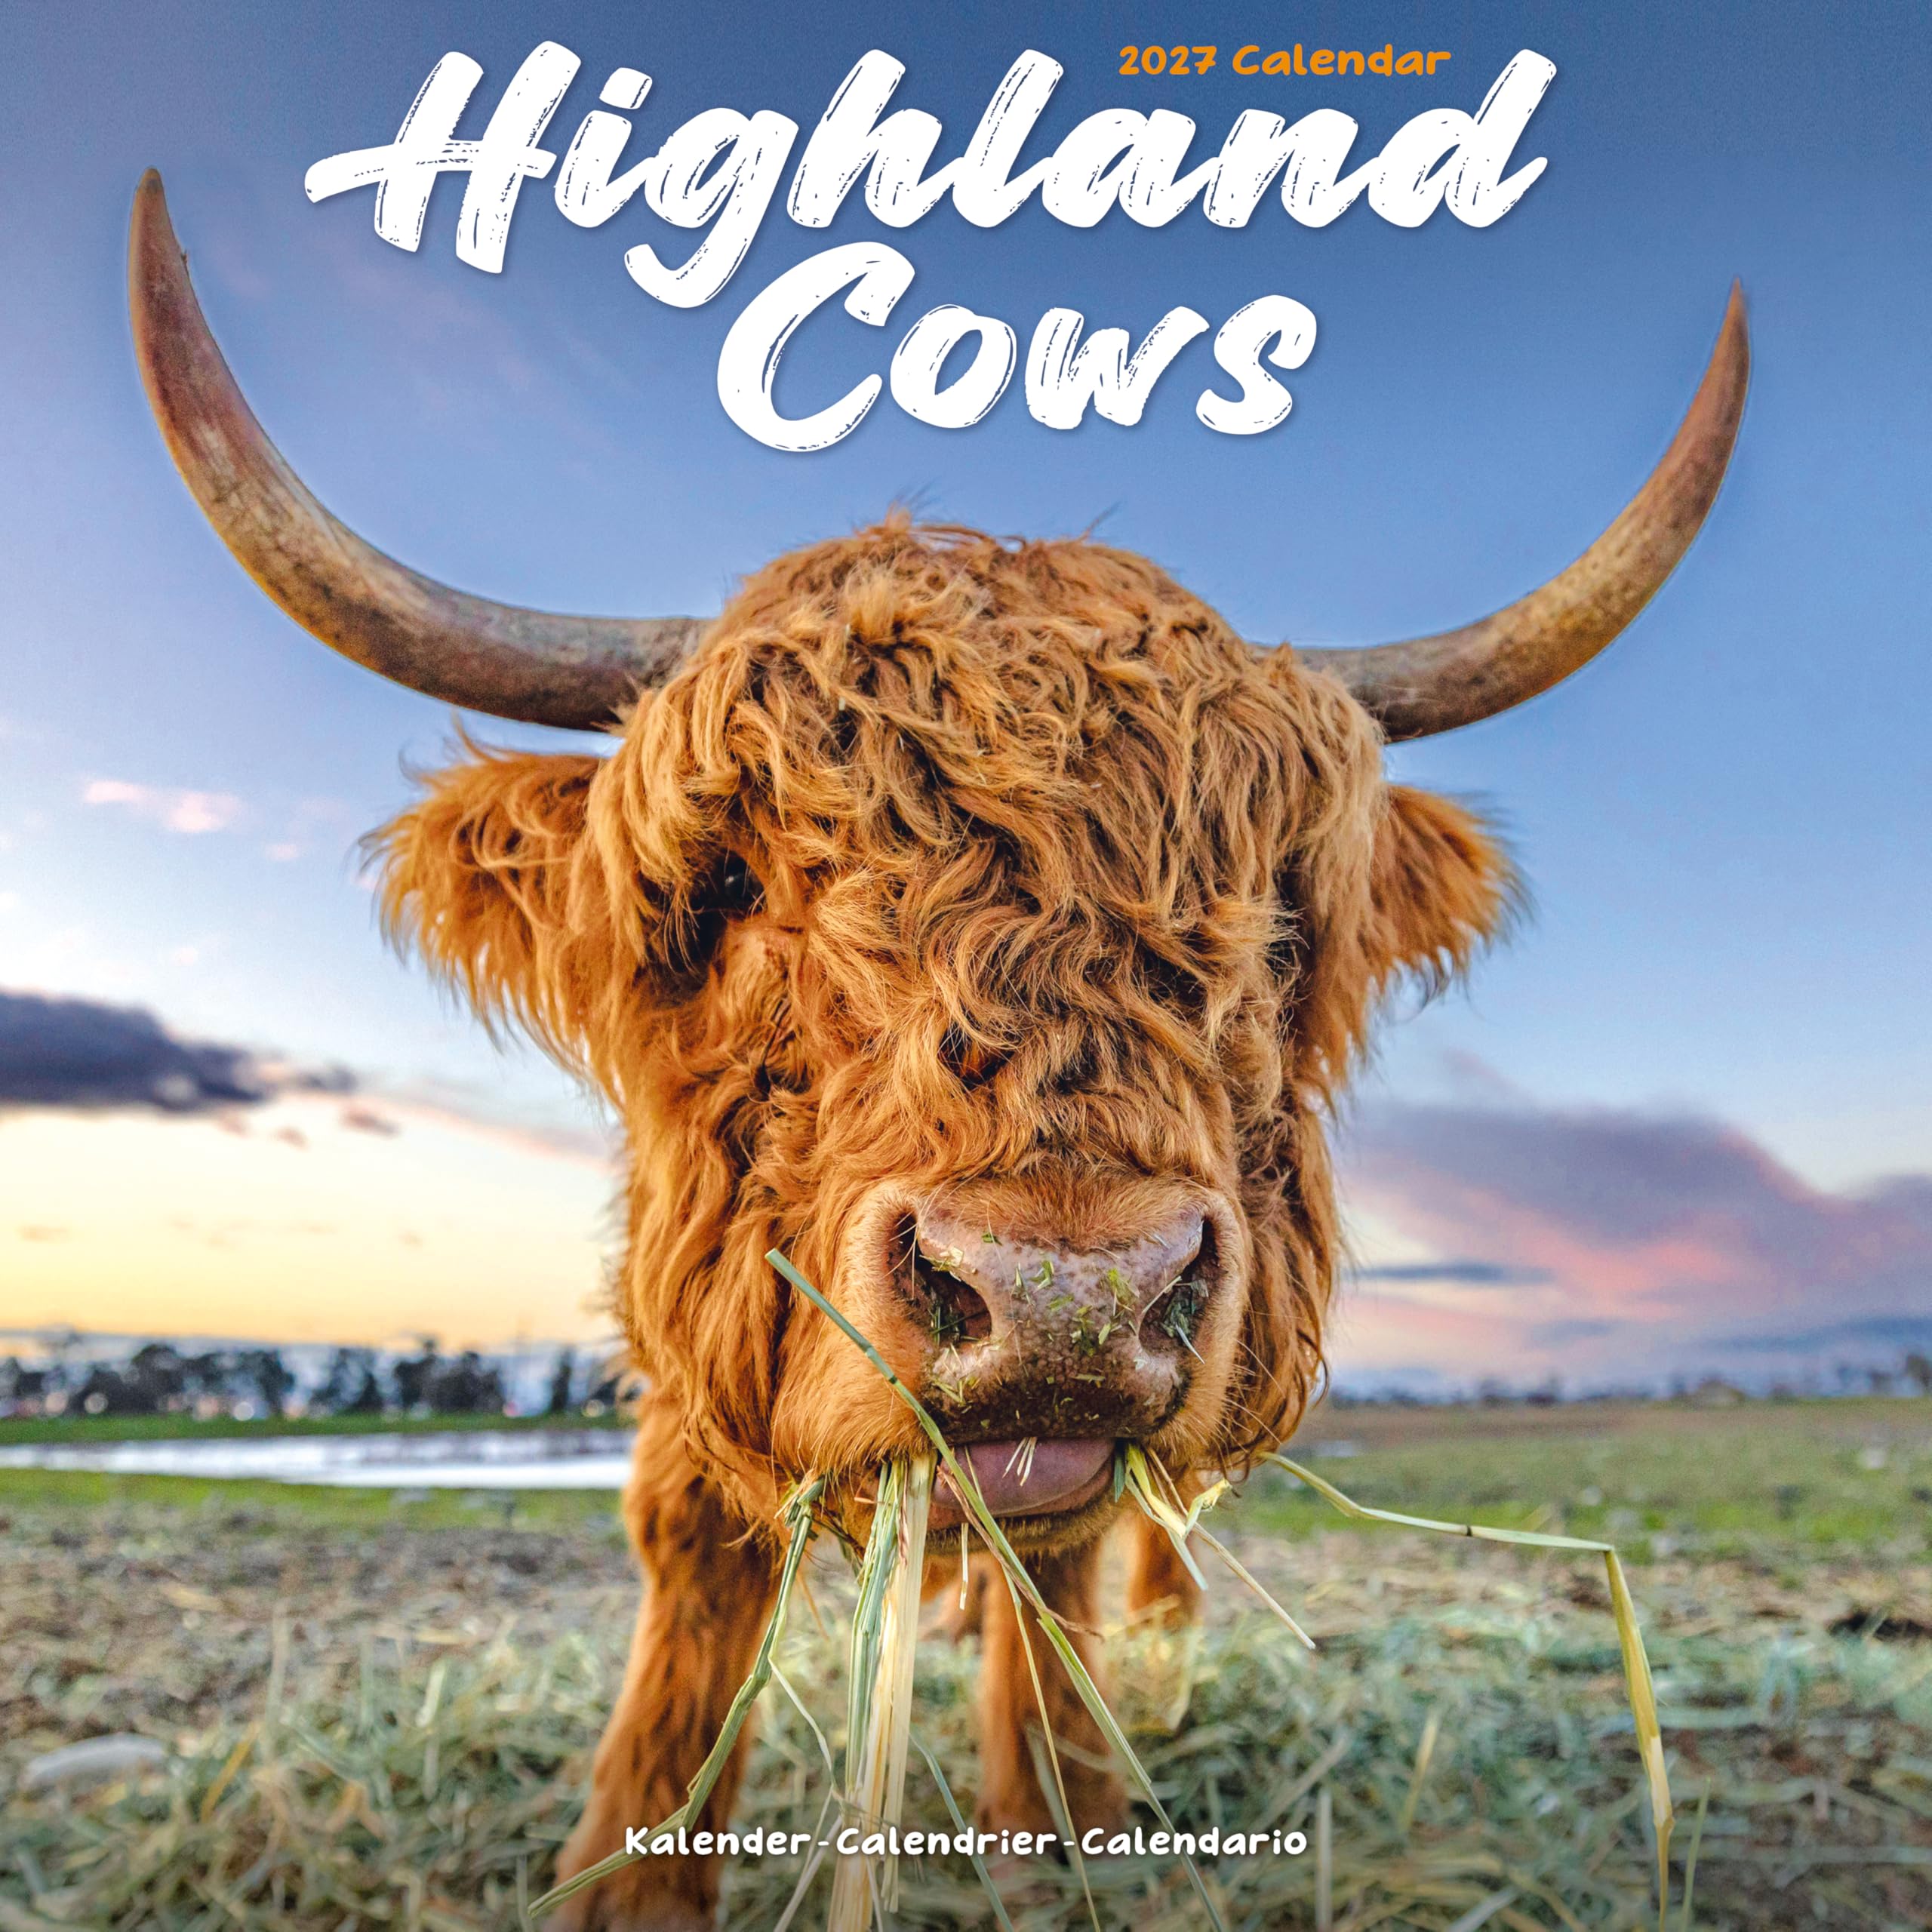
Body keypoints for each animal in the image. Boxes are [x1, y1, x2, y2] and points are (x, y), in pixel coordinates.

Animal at [128, 171, 1746, 1930]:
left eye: (1275, 921)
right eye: (732, 883)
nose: (1064, 1298)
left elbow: (1067, 1554)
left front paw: (1063, 1817)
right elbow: (691, 1529)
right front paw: (629, 1866)